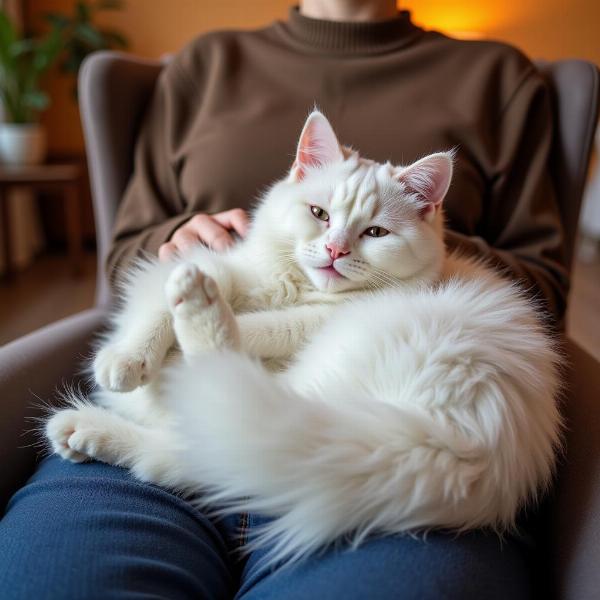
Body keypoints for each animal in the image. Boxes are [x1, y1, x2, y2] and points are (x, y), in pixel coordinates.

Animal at [44, 110, 560, 564]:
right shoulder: (220, 263)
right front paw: (125, 360)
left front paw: (185, 328)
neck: (293, 288)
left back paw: (188, 316)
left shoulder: (303, 318)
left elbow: (257, 324)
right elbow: (154, 312)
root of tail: (463, 448)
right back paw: (83, 432)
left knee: (214, 418)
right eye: (319, 214)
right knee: (198, 458)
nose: (334, 250)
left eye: (375, 232)